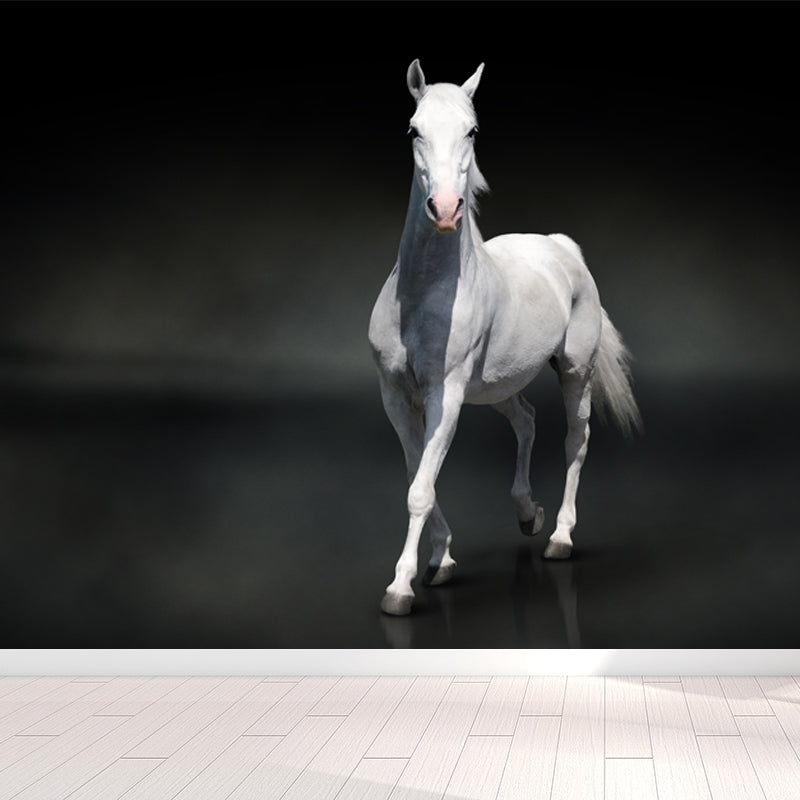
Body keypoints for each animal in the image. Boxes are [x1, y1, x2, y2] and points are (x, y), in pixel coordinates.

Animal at [368, 60, 641, 616]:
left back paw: (559, 536)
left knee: (575, 440)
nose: (445, 209)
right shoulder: (396, 395)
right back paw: (527, 514)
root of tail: (561, 248)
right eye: (413, 129)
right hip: (495, 387)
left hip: (575, 373)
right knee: (527, 421)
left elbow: (420, 489)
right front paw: (442, 561)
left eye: (472, 131)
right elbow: (419, 476)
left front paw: (400, 587)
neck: (422, 295)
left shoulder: (445, 395)